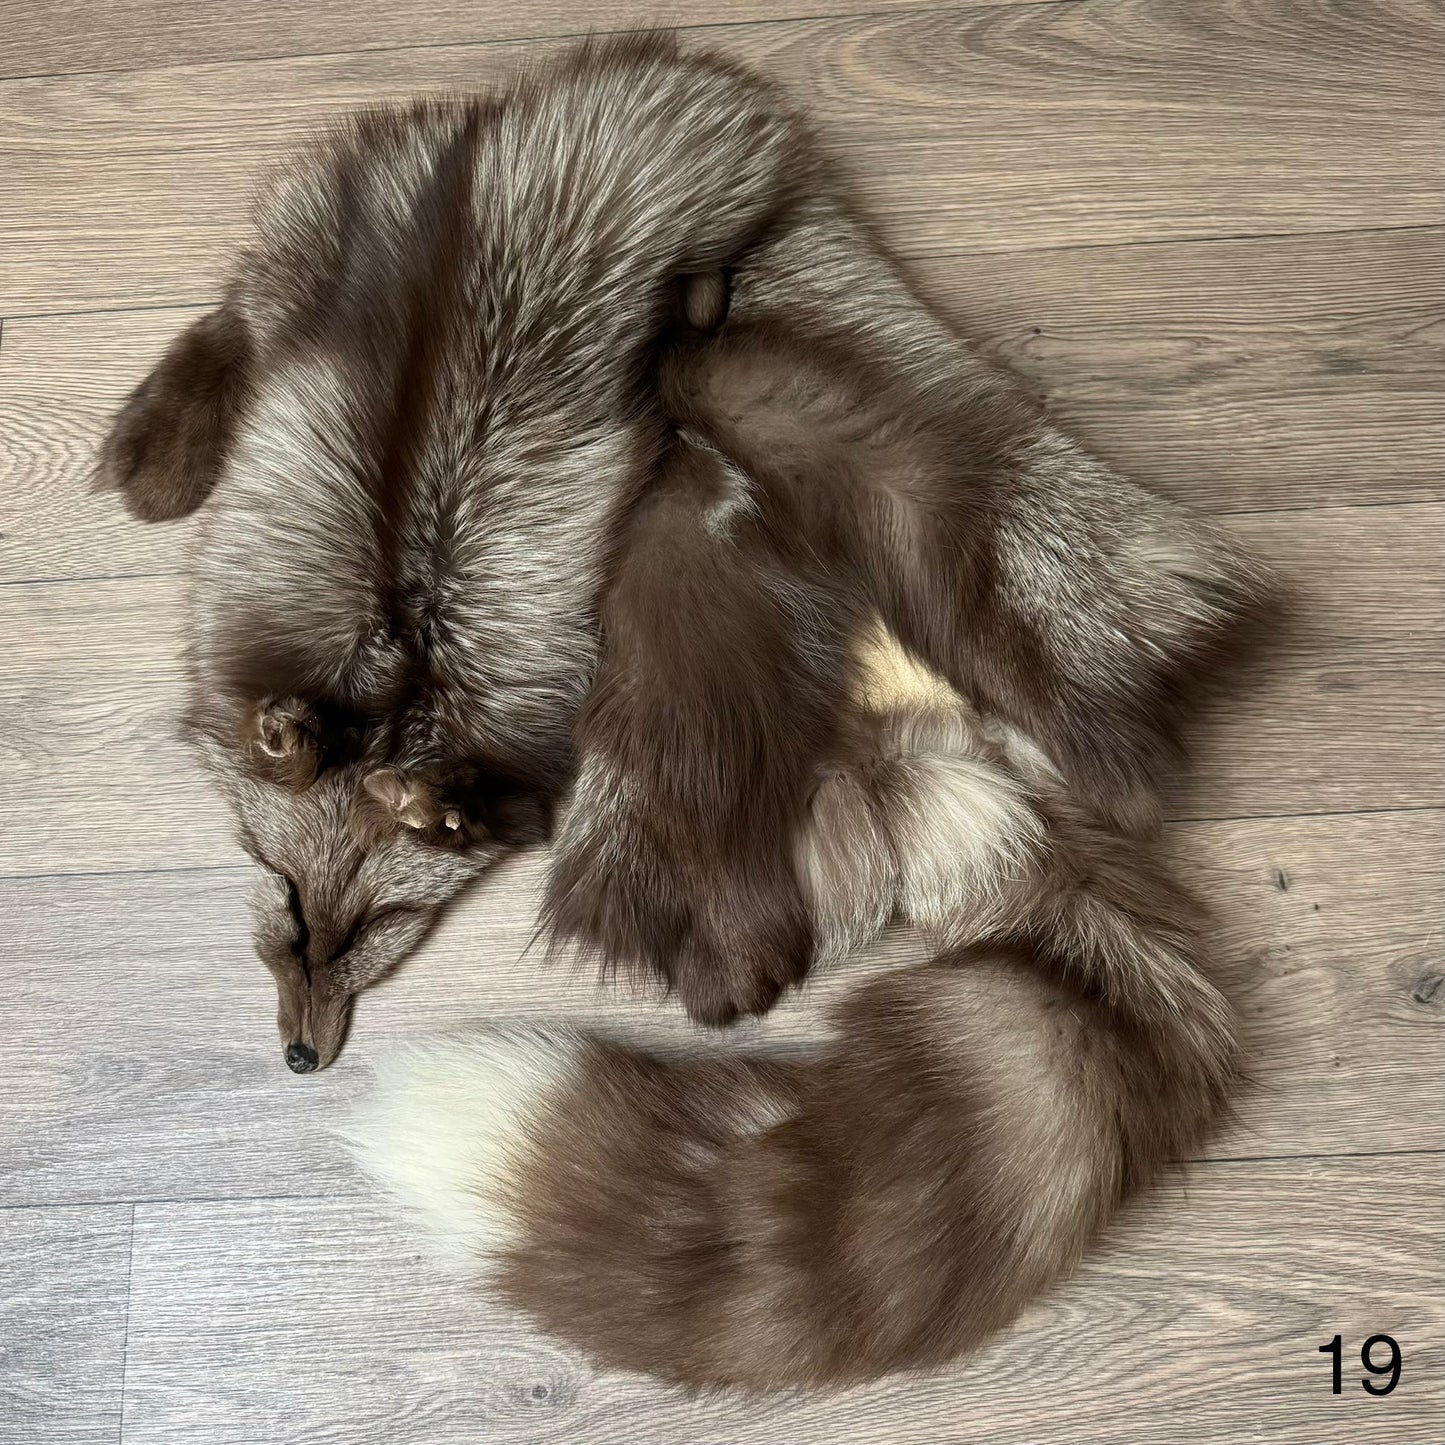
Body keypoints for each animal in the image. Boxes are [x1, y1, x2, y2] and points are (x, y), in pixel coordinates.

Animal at [95, 35, 812, 1071]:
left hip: (690, 193)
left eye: (378, 926)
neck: (398, 692)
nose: (301, 1059)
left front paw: (426, 805)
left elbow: (464, 800)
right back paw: (163, 446)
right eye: (291, 912)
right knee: (235, 311)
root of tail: (470, 128)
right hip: (310, 251)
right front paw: (302, 750)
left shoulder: (516, 766)